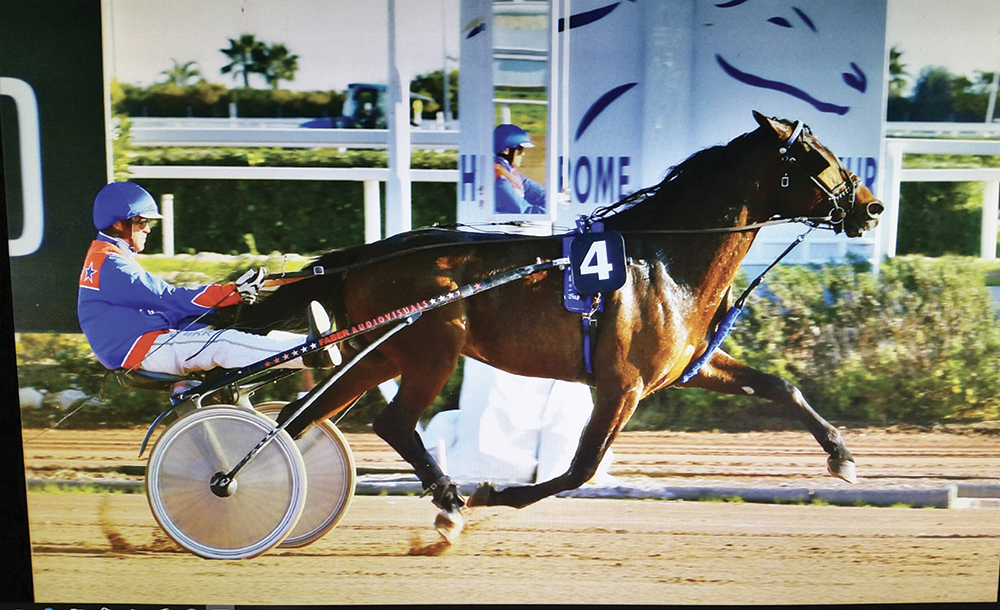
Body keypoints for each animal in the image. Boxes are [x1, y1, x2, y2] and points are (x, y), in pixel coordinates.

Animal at [222, 111, 883, 541]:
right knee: (392, 422)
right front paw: (496, 492)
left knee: (302, 418)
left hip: (379, 353)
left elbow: (782, 386)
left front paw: (842, 457)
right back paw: (449, 500)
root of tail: (361, 255)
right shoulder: (621, 386)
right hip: (433, 349)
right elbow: (581, 468)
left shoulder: (685, 367)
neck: (664, 260)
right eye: (820, 160)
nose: (872, 208)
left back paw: (244, 483)